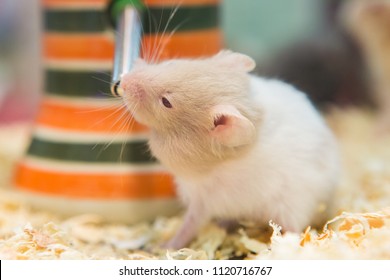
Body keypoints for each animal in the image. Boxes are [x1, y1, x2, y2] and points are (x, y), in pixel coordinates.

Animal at [120, 50, 340, 249]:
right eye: (171, 63)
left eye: (166, 102)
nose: (122, 81)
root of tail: (330, 197)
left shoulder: (202, 202)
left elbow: (188, 226)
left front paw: (163, 247)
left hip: (293, 206)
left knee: (294, 228)